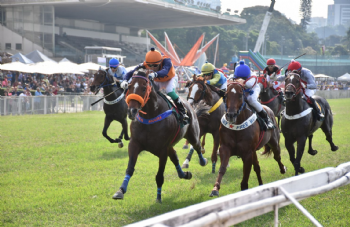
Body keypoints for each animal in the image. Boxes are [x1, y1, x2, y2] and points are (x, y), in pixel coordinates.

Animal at [112, 69, 206, 202]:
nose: (131, 112)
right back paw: (184, 174)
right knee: (175, 156)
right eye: (129, 87)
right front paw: (120, 191)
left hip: (192, 134)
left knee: (197, 146)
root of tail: (189, 105)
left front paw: (158, 198)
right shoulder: (134, 144)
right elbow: (130, 168)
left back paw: (202, 161)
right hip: (170, 145)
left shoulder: (162, 150)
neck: (150, 116)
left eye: (144, 88)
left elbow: (160, 175)